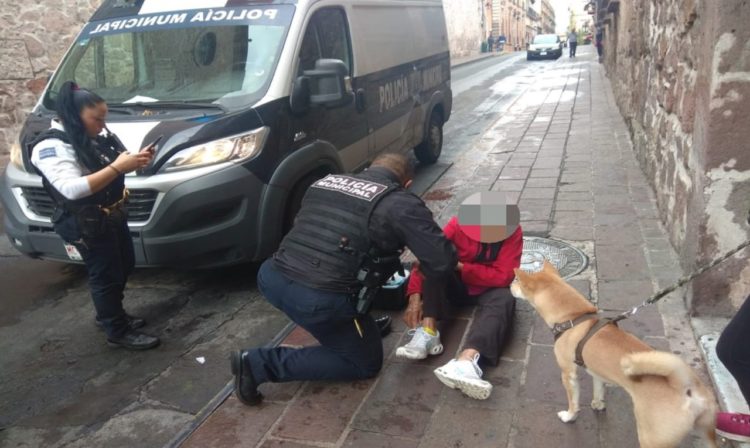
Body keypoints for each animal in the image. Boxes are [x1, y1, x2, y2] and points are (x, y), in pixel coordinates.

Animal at [516, 260, 720, 446]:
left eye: (517, 281)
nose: (510, 284)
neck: (575, 317)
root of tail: (686, 387)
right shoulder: (596, 372)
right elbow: (598, 390)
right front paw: (598, 405)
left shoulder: (568, 374)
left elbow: (573, 402)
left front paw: (569, 416)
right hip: (706, 433)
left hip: (652, 439)